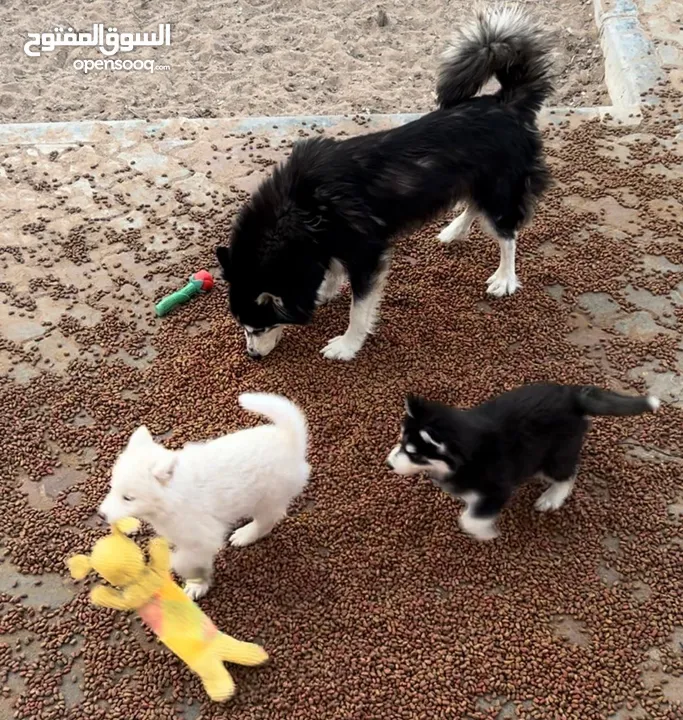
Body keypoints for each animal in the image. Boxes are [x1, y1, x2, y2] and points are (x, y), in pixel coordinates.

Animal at [99, 390, 310, 600]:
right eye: (112, 488)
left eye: (128, 498)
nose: (101, 515)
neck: (171, 498)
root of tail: (290, 440)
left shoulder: (203, 537)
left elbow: (185, 561)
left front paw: (196, 583)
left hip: (267, 498)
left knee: (266, 521)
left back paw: (246, 534)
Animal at [214, 7, 556, 360]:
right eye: (245, 326)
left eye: (259, 327)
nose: (252, 356)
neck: (302, 209)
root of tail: (506, 103)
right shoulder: (330, 243)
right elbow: (332, 270)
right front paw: (325, 290)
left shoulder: (367, 254)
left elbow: (358, 310)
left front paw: (347, 345)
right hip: (477, 184)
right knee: (475, 208)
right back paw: (454, 230)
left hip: (500, 191)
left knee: (507, 235)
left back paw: (505, 277)